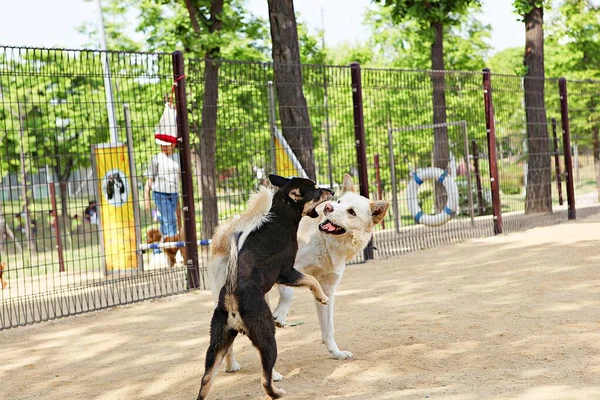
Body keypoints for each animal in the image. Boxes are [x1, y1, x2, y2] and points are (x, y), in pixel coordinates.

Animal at [199, 175, 336, 400]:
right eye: (316, 190)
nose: (331, 191)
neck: (280, 216)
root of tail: (232, 298)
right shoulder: (287, 272)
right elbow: (311, 280)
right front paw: (322, 297)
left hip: (218, 344)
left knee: (206, 380)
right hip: (267, 338)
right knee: (265, 378)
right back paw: (278, 391)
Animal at [210, 174, 390, 376]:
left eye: (351, 212)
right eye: (339, 202)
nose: (328, 208)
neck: (325, 241)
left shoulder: (328, 287)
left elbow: (328, 326)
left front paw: (336, 352)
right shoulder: (288, 270)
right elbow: (290, 292)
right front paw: (280, 315)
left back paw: (231, 365)